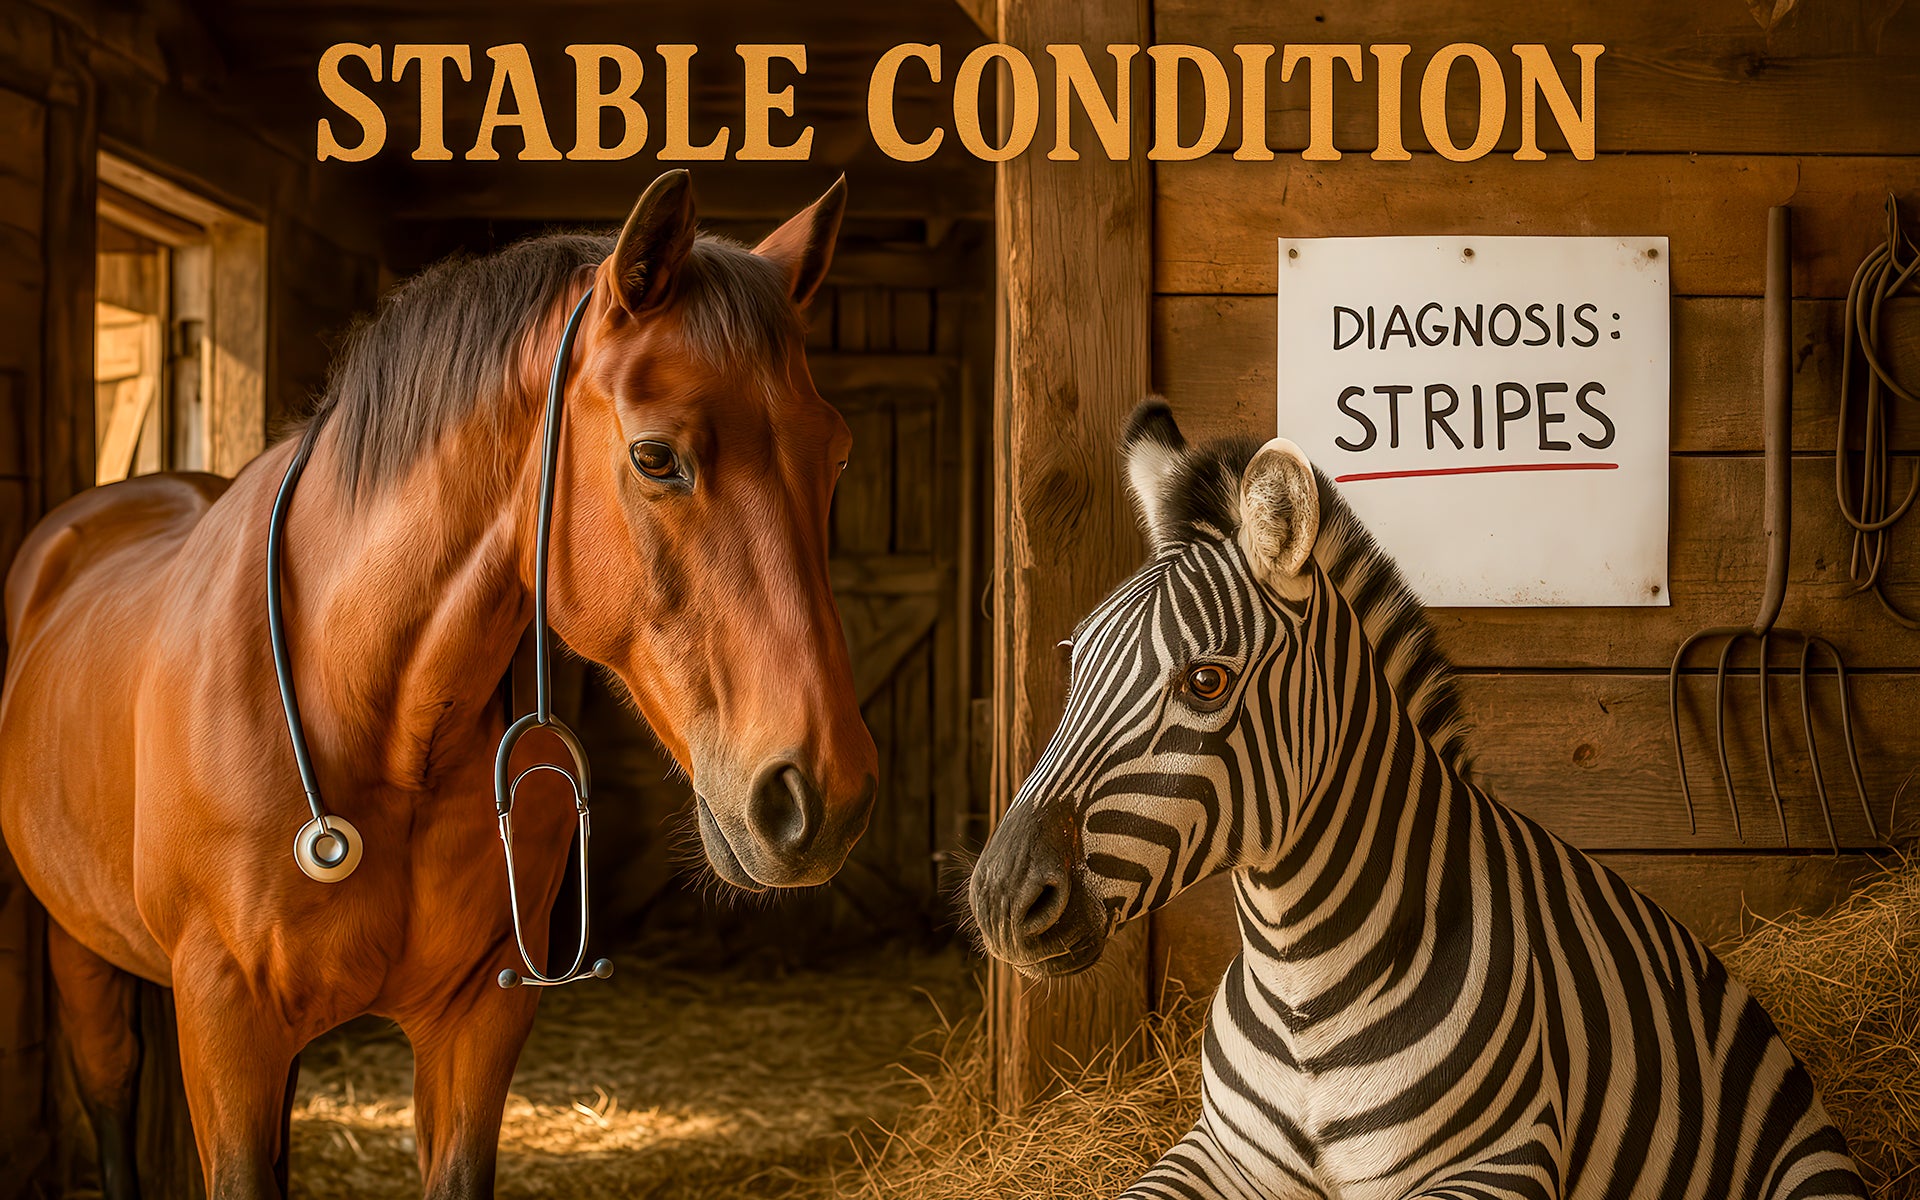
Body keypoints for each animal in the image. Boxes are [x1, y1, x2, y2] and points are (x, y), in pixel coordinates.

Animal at [0, 170, 879, 1199]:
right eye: (655, 456)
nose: (823, 797)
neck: (381, 721)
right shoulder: (225, 1025)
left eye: (838, 453)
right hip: (79, 950)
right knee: (109, 1093)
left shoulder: (476, 1022)